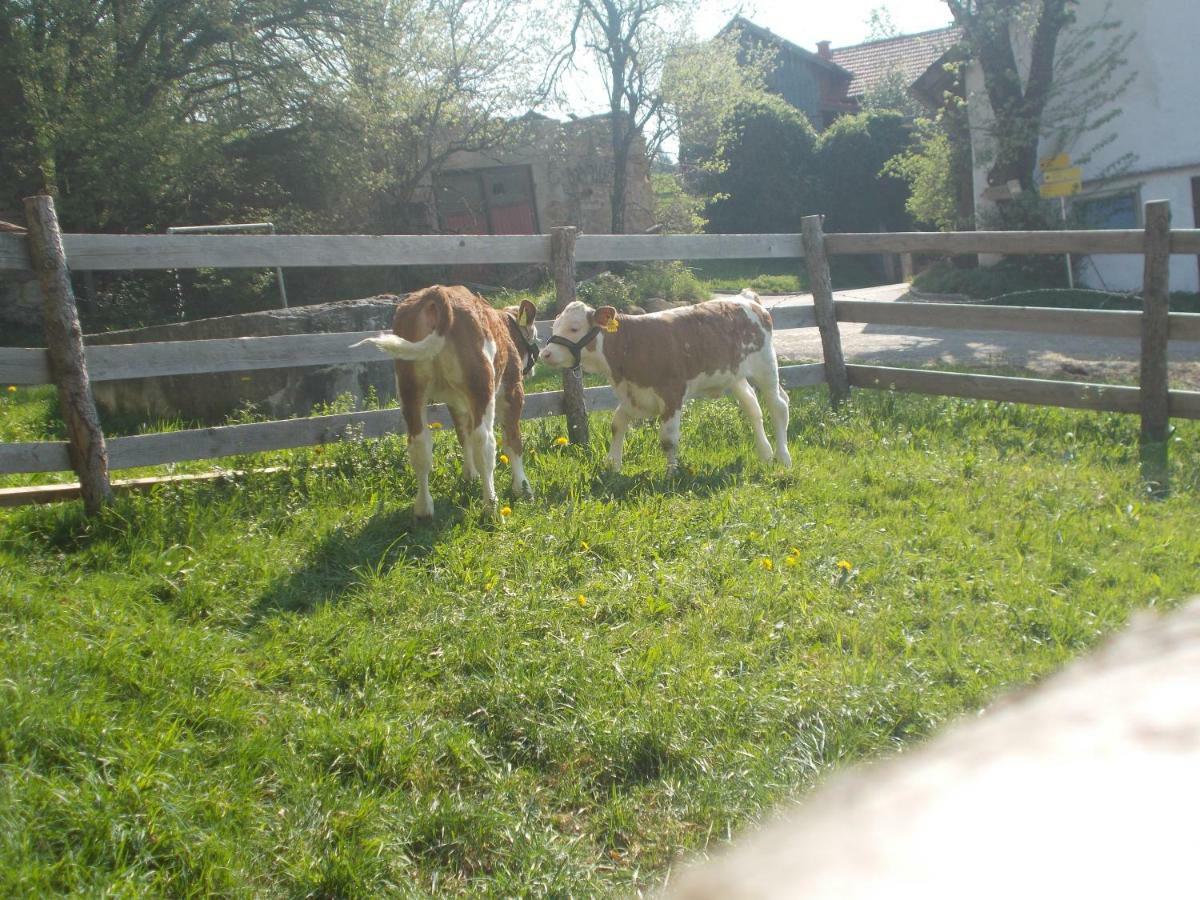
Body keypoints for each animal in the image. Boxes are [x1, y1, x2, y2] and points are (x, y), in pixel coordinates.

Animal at [350, 285, 540, 518]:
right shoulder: (512, 390)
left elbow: (463, 435)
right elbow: (513, 441)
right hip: (481, 387)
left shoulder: (456, 402)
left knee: (420, 446)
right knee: (484, 443)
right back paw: (492, 508)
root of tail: (437, 292)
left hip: (410, 389)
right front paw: (522, 488)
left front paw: (470, 475)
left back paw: (424, 509)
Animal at [542, 290, 787, 475]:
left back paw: (783, 458)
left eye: (574, 328)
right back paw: (766, 454)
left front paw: (671, 475)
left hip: (766, 366)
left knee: (779, 406)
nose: (545, 353)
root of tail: (747, 298)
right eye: (555, 326)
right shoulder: (633, 395)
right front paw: (613, 466)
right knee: (752, 407)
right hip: (736, 376)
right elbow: (617, 424)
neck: (631, 343)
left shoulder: (672, 394)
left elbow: (668, 439)